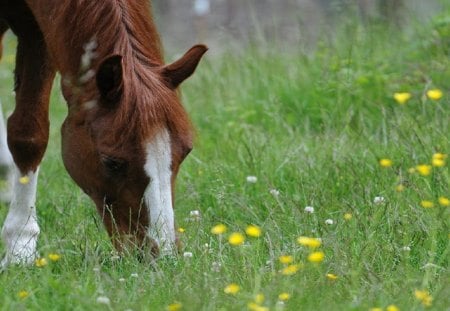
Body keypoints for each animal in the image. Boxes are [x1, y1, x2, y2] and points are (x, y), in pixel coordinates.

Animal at [0, 0, 207, 268]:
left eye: (186, 152)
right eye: (112, 162)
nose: (161, 253)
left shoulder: (37, 30)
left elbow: (30, 135)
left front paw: (19, 246)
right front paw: (19, 249)